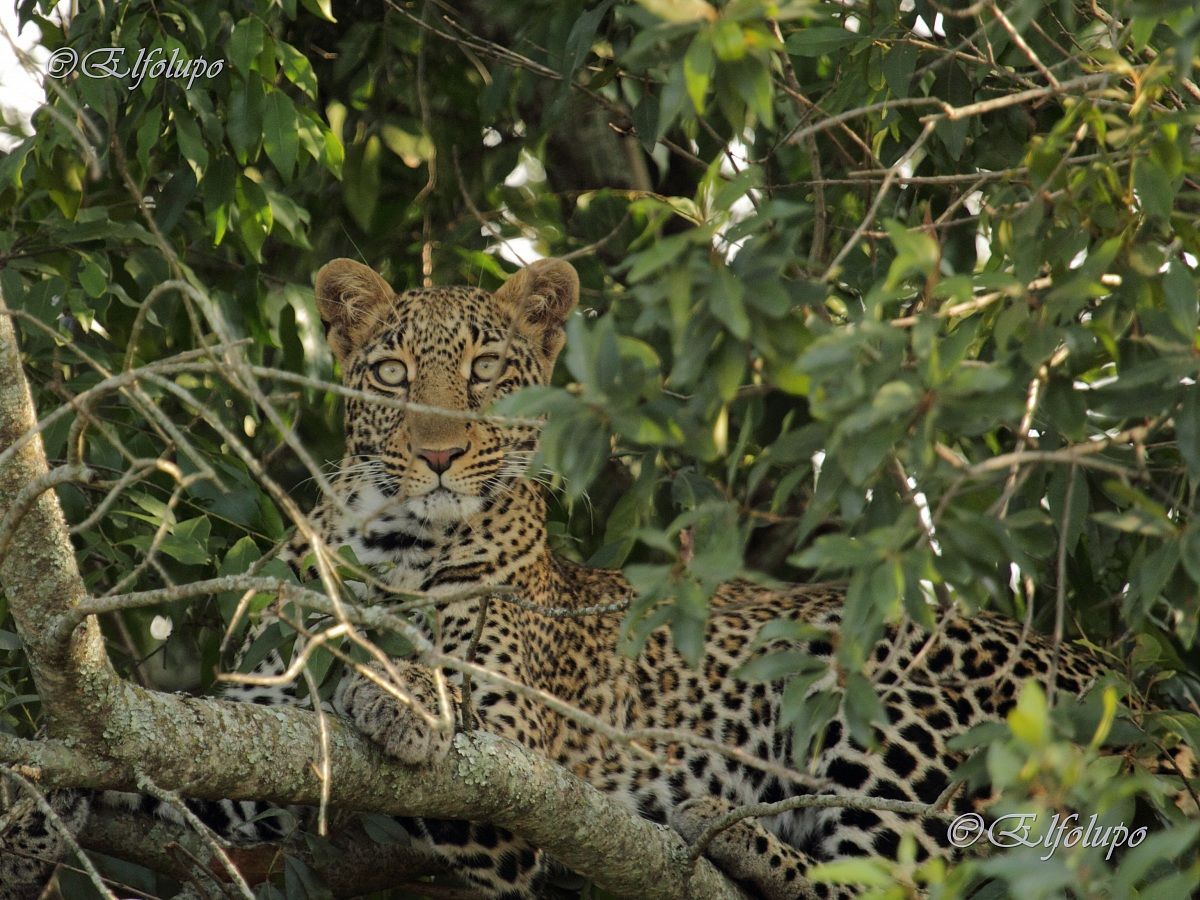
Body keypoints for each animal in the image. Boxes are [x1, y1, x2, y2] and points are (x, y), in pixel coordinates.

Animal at [2, 256, 1195, 900]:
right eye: (393, 374)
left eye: (488, 375)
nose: (440, 453)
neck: (394, 552)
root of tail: (1139, 697)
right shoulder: (260, 743)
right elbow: (149, 758)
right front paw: (27, 821)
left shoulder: (521, 755)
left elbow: (446, 693)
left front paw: (401, 698)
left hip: (887, 694)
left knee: (902, 878)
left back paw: (729, 831)